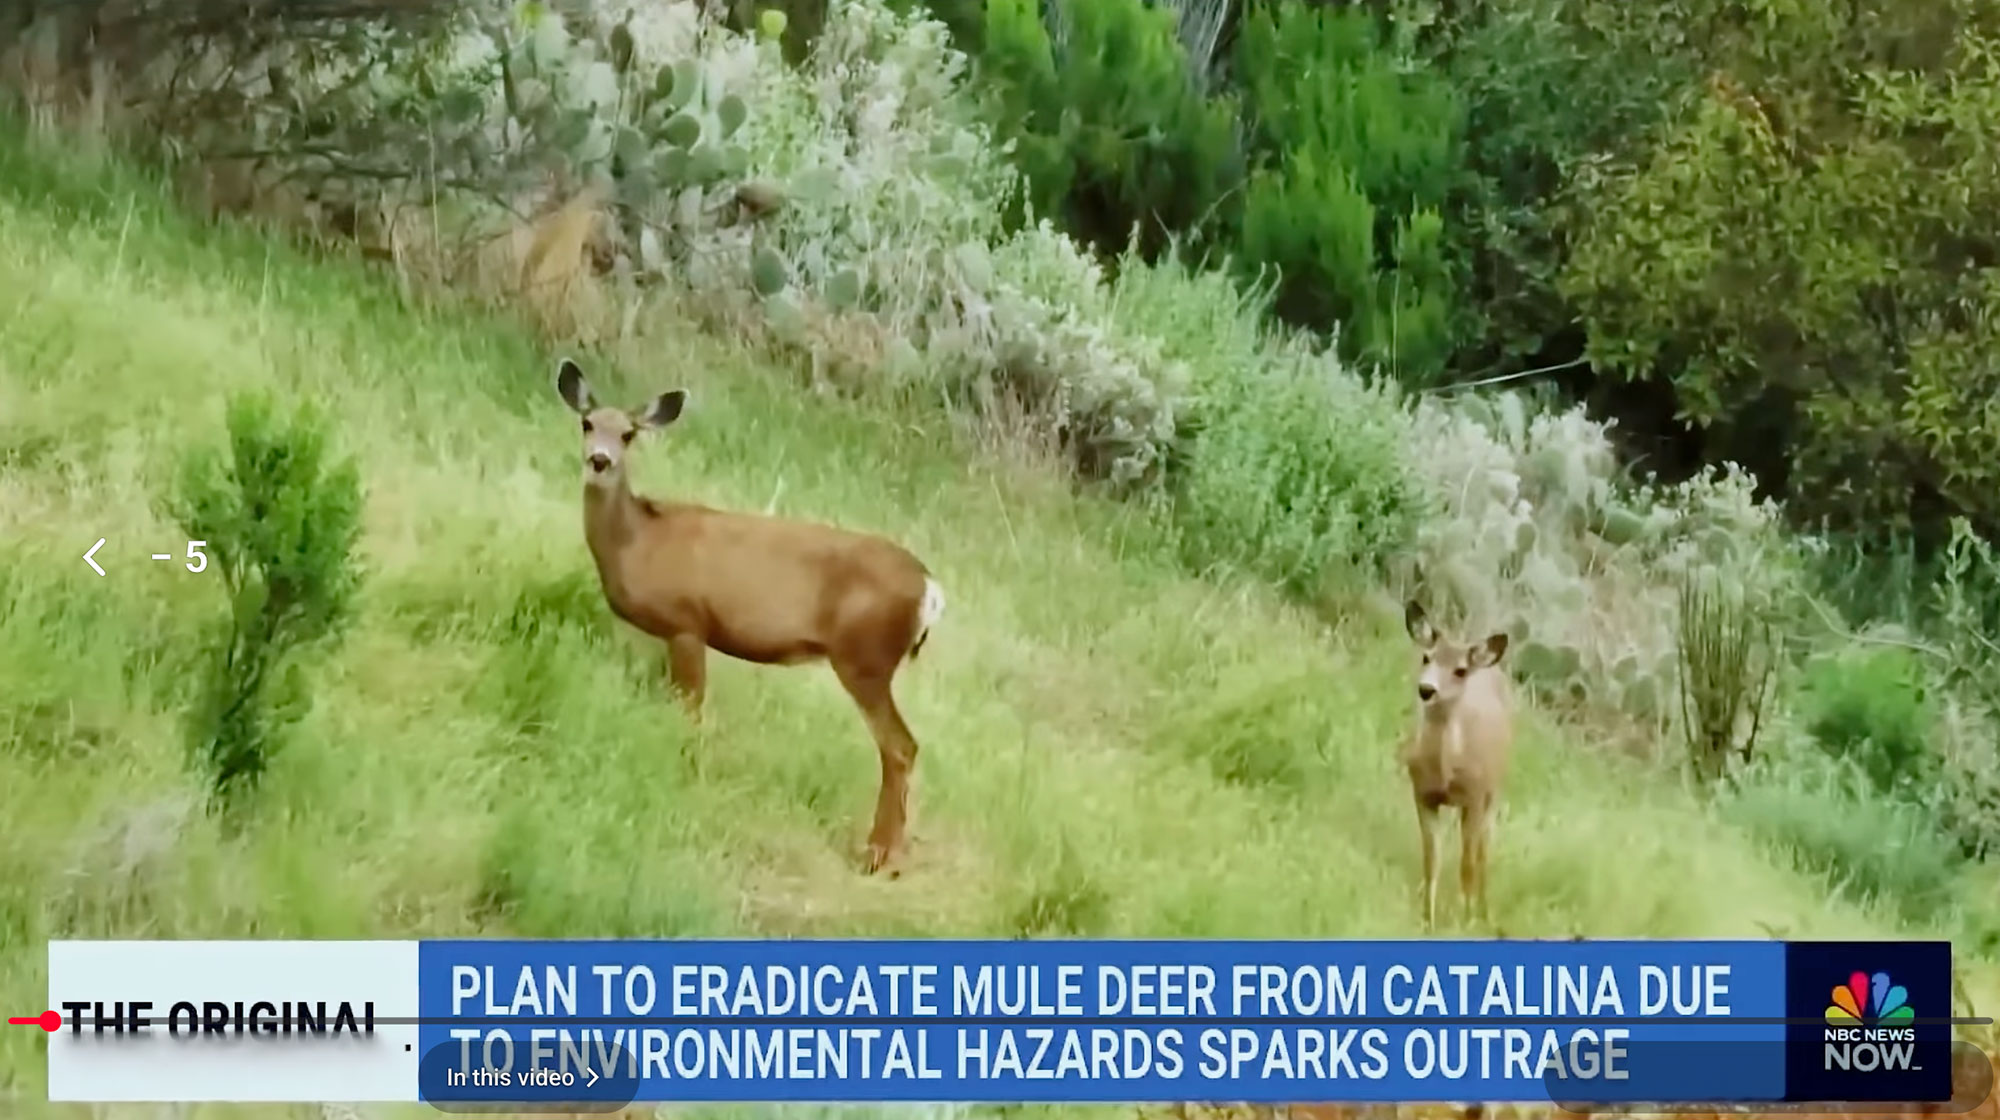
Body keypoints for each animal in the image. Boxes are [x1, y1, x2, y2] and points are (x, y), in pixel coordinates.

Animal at [553, 357, 946, 876]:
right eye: (588, 423)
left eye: (629, 434)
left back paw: (877, 855)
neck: (639, 543)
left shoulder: (687, 622)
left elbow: (690, 712)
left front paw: (687, 772)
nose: (599, 460)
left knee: (900, 746)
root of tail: (931, 589)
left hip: (865, 658)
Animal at [1400, 600, 1515, 929]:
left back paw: (1483, 910)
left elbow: (1467, 864)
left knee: (1483, 851)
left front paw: (1464, 921)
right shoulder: (1422, 794)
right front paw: (1427, 919)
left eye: (1460, 670)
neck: (1445, 772)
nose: (1427, 689)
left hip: (1494, 792)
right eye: (1426, 656)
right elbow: (1432, 860)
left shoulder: (1474, 798)